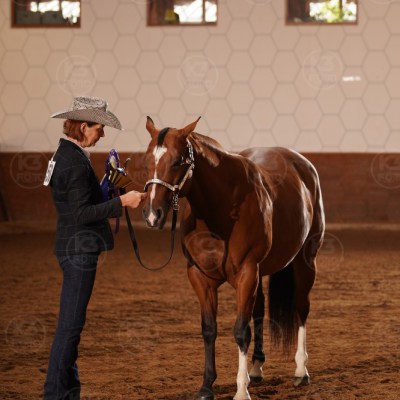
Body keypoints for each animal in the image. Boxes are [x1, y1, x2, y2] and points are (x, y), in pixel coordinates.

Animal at [141, 117, 325, 400]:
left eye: (179, 160)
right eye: (148, 159)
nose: (153, 214)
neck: (221, 209)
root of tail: (303, 166)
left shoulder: (246, 274)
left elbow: (240, 331)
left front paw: (240, 390)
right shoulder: (200, 277)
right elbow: (209, 329)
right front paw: (206, 387)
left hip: (305, 261)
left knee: (301, 308)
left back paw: (300, 371)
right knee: (259, 310)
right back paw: (257, 369)